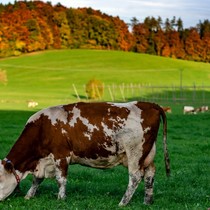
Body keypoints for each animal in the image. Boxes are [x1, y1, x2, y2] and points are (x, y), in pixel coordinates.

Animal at [0, 101, 171, 206]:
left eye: (0, 181)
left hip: (135, 152)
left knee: (135, 176)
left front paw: (61, 199)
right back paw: (147, 201)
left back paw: (123, 203)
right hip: (147, 154)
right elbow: (37, 179)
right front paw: (29, 196)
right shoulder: (44, 160)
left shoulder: (61, 155)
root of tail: (149, 104)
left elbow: (61, 179)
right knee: (150, 173)